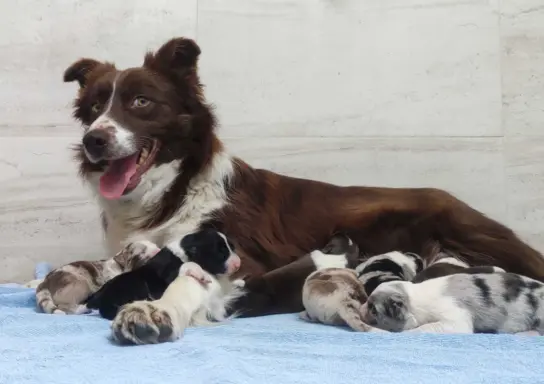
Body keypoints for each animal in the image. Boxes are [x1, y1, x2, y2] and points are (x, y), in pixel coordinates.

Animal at [85, 228, 240, 320]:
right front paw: (201, 274)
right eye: (221, 252)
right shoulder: (169, 274)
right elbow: (188, 265)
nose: (238, 264)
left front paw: (238, 282)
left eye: (232, 248)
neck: (186, 250)